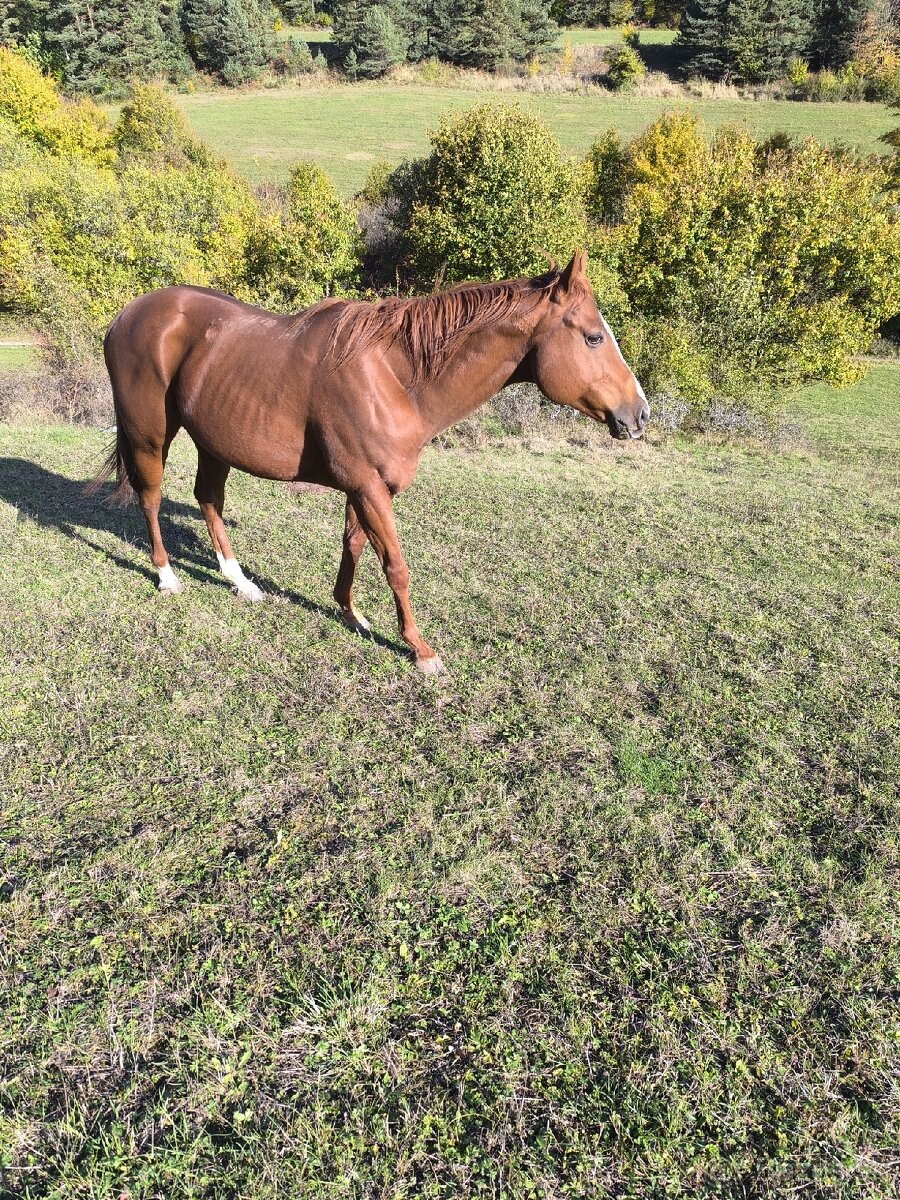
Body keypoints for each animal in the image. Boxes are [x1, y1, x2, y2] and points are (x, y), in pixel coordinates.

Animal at [97, 250, 648, 676]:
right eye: (594, 337)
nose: (639, 413)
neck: (393, 377)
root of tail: (127, 315)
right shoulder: (367, 486)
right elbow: (395, 566)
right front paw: (420, 649)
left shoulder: (367, 487)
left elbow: (355, 547)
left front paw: (350, 613)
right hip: (150, 434)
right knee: (150, 496)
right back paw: (167, 576)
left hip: (215, 443)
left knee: (208, 500)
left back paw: (241, 583)